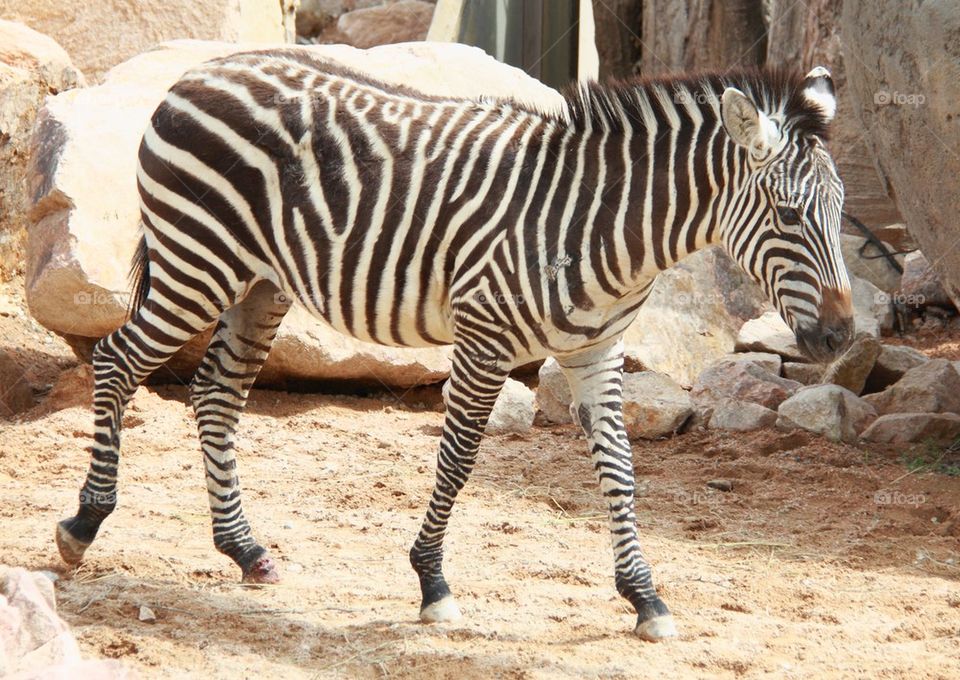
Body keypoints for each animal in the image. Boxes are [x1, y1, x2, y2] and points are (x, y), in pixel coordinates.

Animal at [55, 50, 853, 641]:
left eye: (842, 211)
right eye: (787, 215)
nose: (843, 335)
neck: (604, 227)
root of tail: (199, 72)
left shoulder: (596, 354)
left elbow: (622, 472)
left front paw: (644, 598)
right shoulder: (484, 336)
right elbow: (460, 458)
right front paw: (432, 581)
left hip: (257, 282)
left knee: (216, 393)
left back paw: (246, 551)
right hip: (197, 261)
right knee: (117, 361)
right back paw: (85, 523)